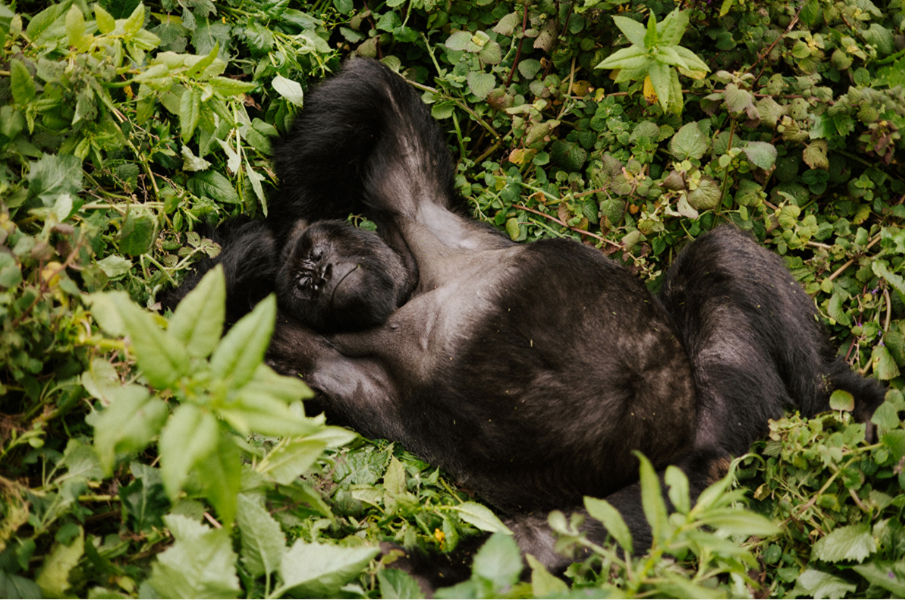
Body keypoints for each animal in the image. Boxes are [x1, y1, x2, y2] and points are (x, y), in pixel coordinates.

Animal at [171, 58, 886, 576]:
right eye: (306, 282)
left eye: (318, 259)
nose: (312, 274)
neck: (411, 290)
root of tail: (706, 446)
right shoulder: (321, 357)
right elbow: (202, 361)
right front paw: (263, 249)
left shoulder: (428, 219)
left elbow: (378, 97)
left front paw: (281, 221)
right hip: (678, 480)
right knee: (551, 540)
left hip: (719, 407)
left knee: (720, 254)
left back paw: (845, 394)